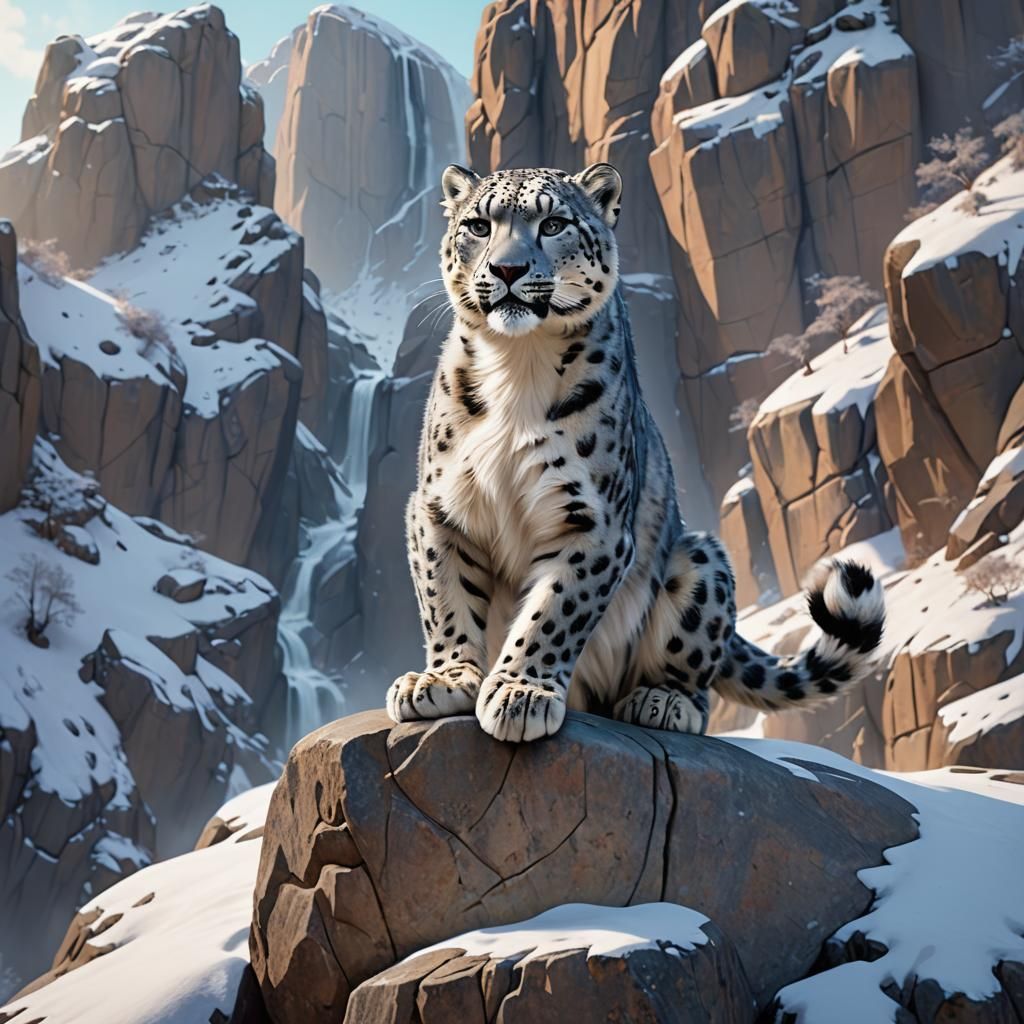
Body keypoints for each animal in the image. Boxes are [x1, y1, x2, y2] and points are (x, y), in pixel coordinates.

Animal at [385, 162, 886, 743]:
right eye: (479, 226)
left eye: (553, 224)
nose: (508, 269)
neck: (518, 363)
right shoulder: (440, 508)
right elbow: (447, 597)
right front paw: (443, 681)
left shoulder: (593, 520)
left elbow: (554, 611)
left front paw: (521, 692)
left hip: (700, 561)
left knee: (696, 681)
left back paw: (662, 701)